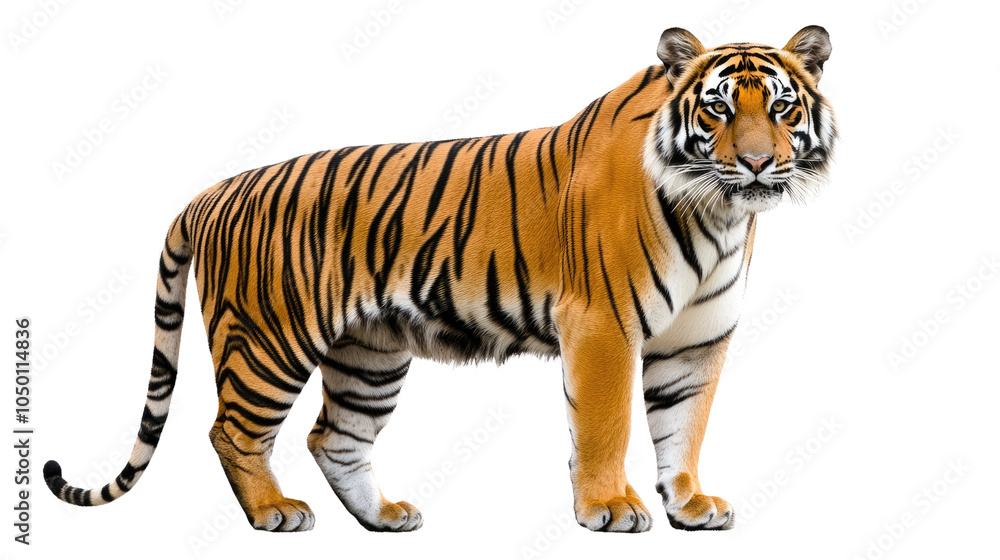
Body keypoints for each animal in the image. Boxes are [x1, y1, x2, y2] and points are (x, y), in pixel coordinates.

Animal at [44, 25, 836, 533]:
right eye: (718, 107)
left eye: (782, 107)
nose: (759, 163)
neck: (721, 213)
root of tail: (212, 192)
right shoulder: (603, 325)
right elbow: (606, 424)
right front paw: (610, 508)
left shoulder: (696, 342)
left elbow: (683, 428)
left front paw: (691, 506)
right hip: (269, 339)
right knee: (232, 430)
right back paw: (275, 512)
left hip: (369, 354)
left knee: (334, 436)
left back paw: (385, 517)